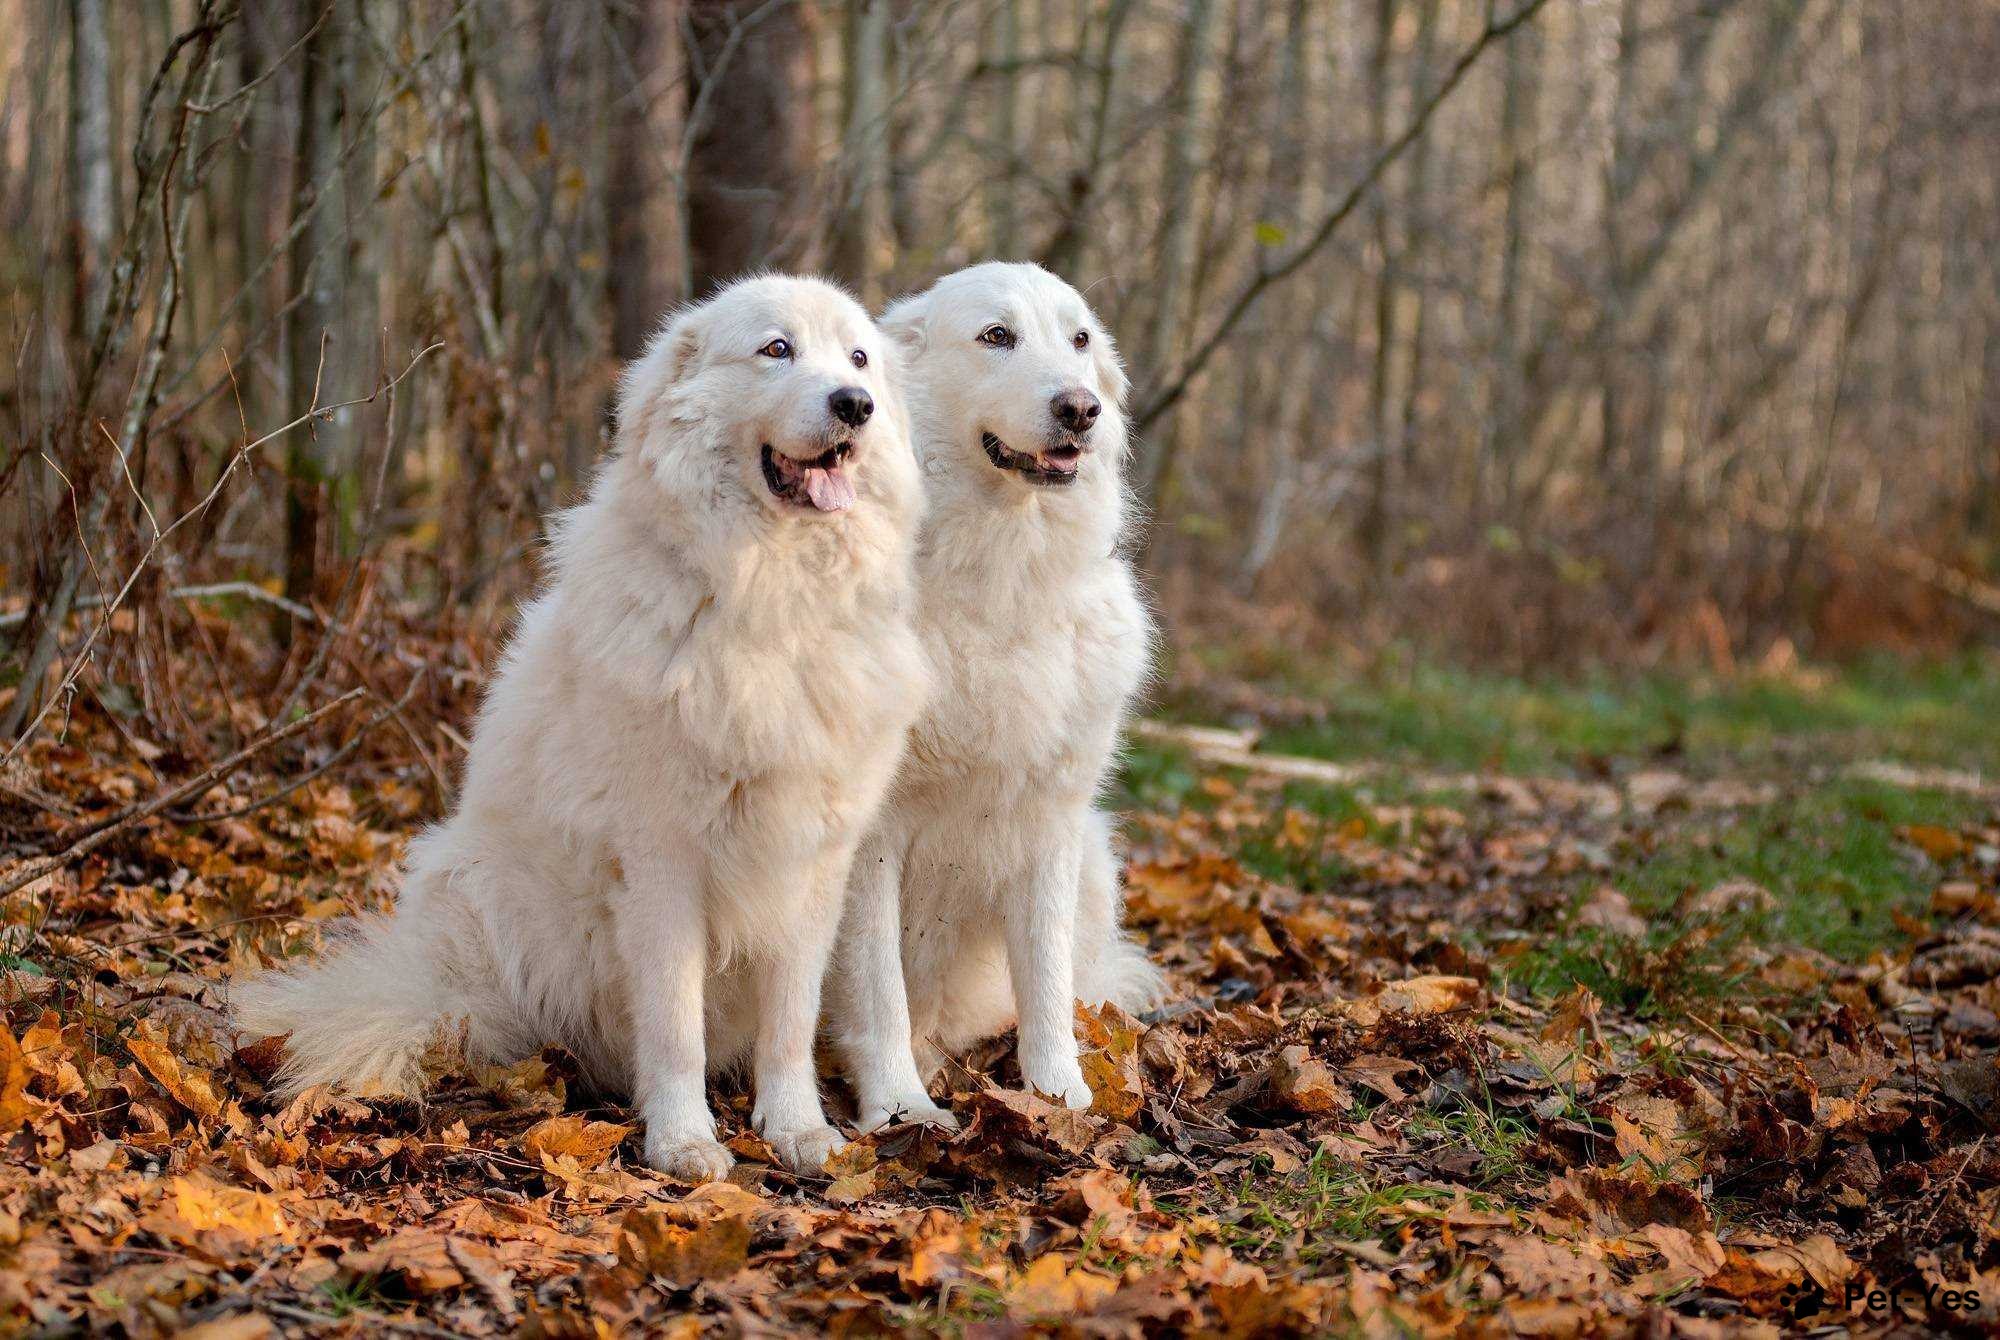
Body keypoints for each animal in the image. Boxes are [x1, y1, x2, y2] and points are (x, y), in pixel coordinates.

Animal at [232, 276, 920, 1184]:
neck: (772, 598)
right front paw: (683, 1142)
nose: (855, 405)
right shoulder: (663, 860)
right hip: (482, 894)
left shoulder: (812, 862)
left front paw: (797, 1129)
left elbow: (790, 1021)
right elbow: (673, 1024)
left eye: (859, 358)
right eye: (777, 349)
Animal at [828, 266, 1168, 1136]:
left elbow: (1043, 979)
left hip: (1095, 856)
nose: (1081, 408)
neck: (999, 571)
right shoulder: (869, 837)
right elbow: (878, 987)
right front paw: (900, 1109)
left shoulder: (1048, 820)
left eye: (1078, 340)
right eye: (996, 337)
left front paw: (1060, 1098)